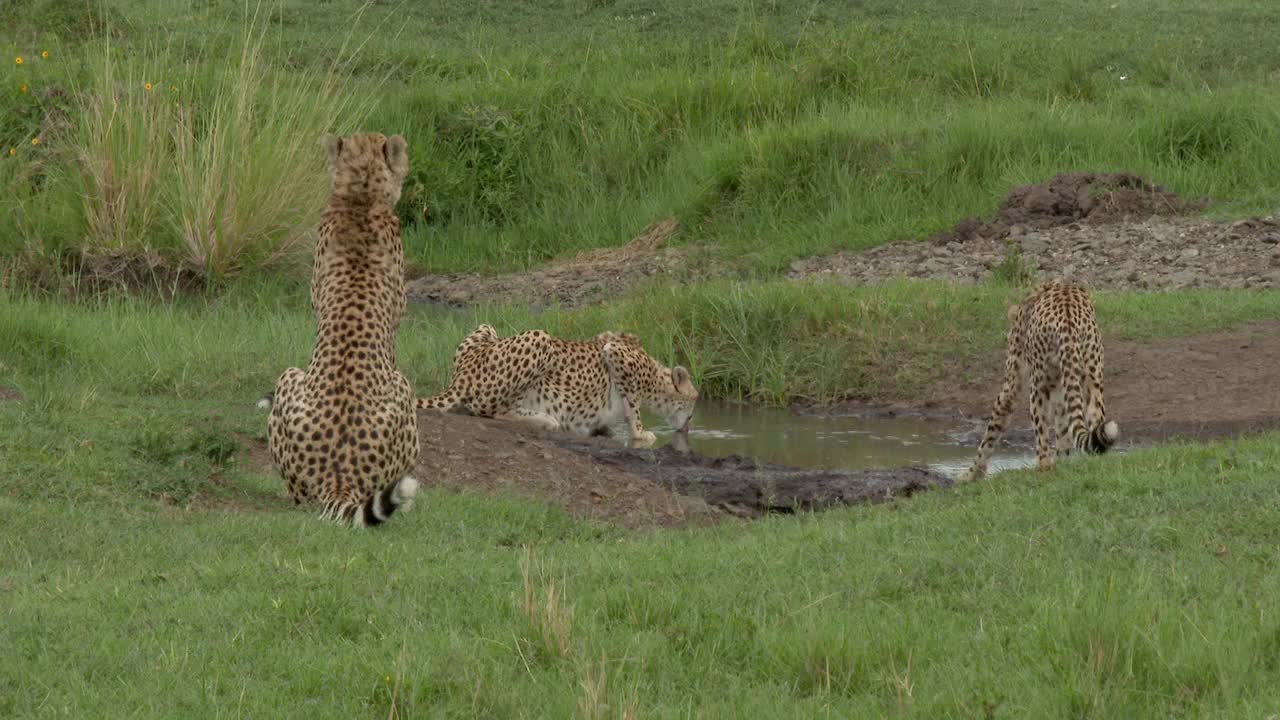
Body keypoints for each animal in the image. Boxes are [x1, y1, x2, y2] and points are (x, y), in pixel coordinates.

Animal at [417, 326, 701, 448]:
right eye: (694, 406)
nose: (687, 427)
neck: (655, 380)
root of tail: (461, 375)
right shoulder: (616, 353)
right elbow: (633, 407)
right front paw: (640, 433)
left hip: (486, 326)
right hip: (540, 338)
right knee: (489, 409)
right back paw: (545, 418)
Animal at [962, 278, 1121, 479]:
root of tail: (1067, 314)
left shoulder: (1013, 383)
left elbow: (994, 424)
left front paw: (971, 474)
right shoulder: (1065, 386)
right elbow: (1063, 428)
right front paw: (1063, 462)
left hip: (1038, 386)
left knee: (1042, 436)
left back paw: (1042, 466)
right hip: (1092, 380)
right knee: (1093, 423)